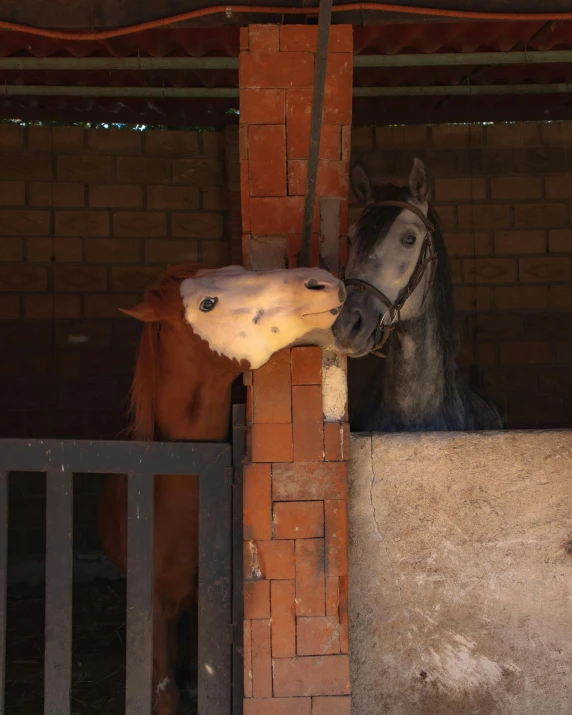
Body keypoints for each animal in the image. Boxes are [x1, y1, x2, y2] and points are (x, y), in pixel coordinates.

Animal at [98, 264, 344, 715]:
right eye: (207, 303)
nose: (322, 281)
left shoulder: (204, 597)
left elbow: (198, 680)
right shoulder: (151, 599)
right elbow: (166, 693)